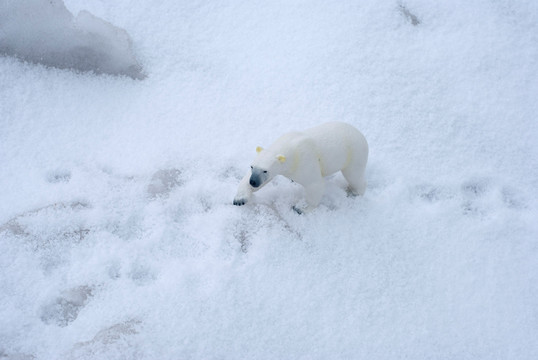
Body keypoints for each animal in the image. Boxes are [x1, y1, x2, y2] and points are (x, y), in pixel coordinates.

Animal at [232, 122, 366, 212]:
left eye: (265, 170)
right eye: (252, 167)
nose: (253, 182)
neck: (290, 145)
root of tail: (361, 135)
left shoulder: (304, 161)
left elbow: (314, 184)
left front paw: (301, 208)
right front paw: (240, 199)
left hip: (355, 153)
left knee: (354, 174)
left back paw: (355, 192)